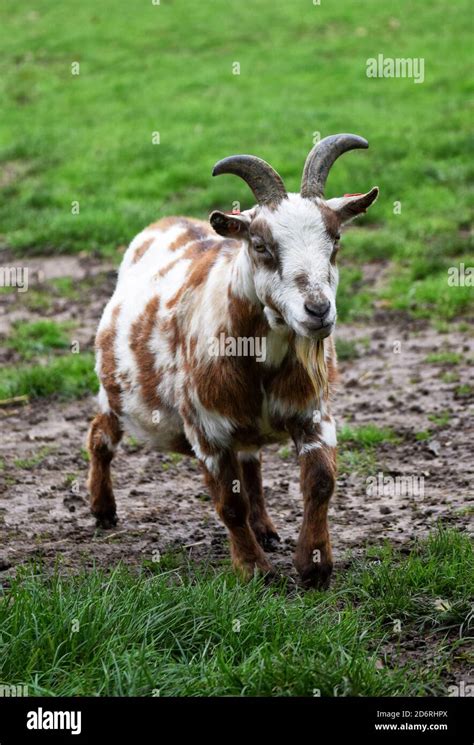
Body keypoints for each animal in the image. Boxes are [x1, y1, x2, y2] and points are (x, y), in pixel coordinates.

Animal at [88, 134, 378, 588]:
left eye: (335, 240)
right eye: (260, 246)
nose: (317, 310)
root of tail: (165, 222)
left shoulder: (313, 414)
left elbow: (319, 483)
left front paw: (313, 566)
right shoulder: (207, 429)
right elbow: (228, 502)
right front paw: (254, 569)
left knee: (251, 464)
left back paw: (267, 529)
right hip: (115, 393)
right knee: (99, 436)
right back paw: (103, 510)